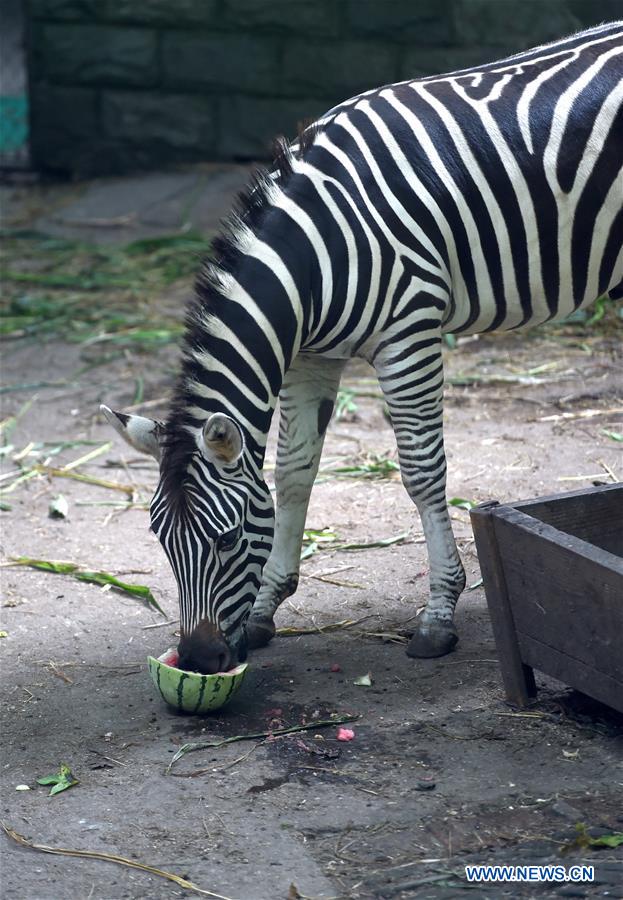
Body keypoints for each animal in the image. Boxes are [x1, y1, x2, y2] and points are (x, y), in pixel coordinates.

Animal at [101, 22, 623, 676]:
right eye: (160, 541)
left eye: (225, 538)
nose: (197, 659)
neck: (313, 257)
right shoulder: (310, 355)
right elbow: (294, 471)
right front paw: (265, 608)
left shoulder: (409, 334)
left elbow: (421, 473)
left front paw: (438, 616)